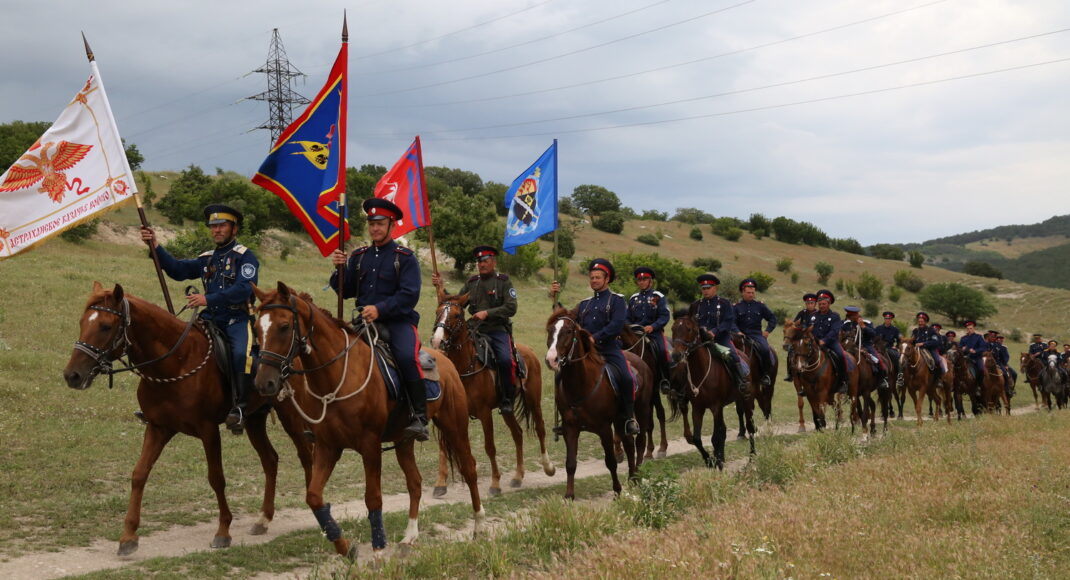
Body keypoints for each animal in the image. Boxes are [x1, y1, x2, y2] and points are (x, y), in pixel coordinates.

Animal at [61, 284, 310, 556]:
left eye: (105, 326)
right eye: (82, 322)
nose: (72, 375)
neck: (176, 361)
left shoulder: (209, 431)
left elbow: (216, 478)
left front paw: (223, 531)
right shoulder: (158, 428)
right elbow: (139, 474)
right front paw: (128, 536)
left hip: (291, 414)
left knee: (306, 454)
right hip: (254, 419)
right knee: (270, 459)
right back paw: (263, 519)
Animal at [250, 284, 481, 560]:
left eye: (284, 326)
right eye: (256, 328)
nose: (264, 383)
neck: (338, 374)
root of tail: (445, 359)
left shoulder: (370, 446)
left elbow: (373, 498)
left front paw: (379, 549)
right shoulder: (328, 447)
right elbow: (314, 497)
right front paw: (345, 547)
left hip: (455, 426)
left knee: (469, 468)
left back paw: (479, 525)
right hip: (404, 441)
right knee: (415, 482)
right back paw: (409, 537)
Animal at [428, 293, 556, 498]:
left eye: (456, 315)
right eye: (437, 312)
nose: (438, 340)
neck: (464, 367)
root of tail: (529, 351)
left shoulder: (485, 413)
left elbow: (490, 447)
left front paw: (495, 483)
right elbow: (443, 447)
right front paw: (440, 483)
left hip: (534, 401)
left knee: (540, 429)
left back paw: (548, 466)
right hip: (507, 408)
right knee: (517, 434)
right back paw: (518, 476)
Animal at [543, 308, 650, 500]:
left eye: (568, 331)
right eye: (550, 330)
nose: (551, 359)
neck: (581, 384)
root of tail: (640, 362)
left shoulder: (604, 428)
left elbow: (611, 461)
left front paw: (617, 491)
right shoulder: (570, 428)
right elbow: (570, 463)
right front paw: (569, 495)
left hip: (642, 409)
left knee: (640, 442)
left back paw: (637, 477)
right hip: (620, 419)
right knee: (629, 444)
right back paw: (631, 477)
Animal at [663, 312, 757, 470]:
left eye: (689, 329)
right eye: (673, 328)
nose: (676, 355)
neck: (701, 371)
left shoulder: (716, 407)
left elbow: (716, 436)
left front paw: (717, 460)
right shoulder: (698, 408)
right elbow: (697, 438)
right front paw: (710, 460)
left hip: (746, 399)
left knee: (749, 427)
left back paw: (752, 458)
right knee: (723, 429)